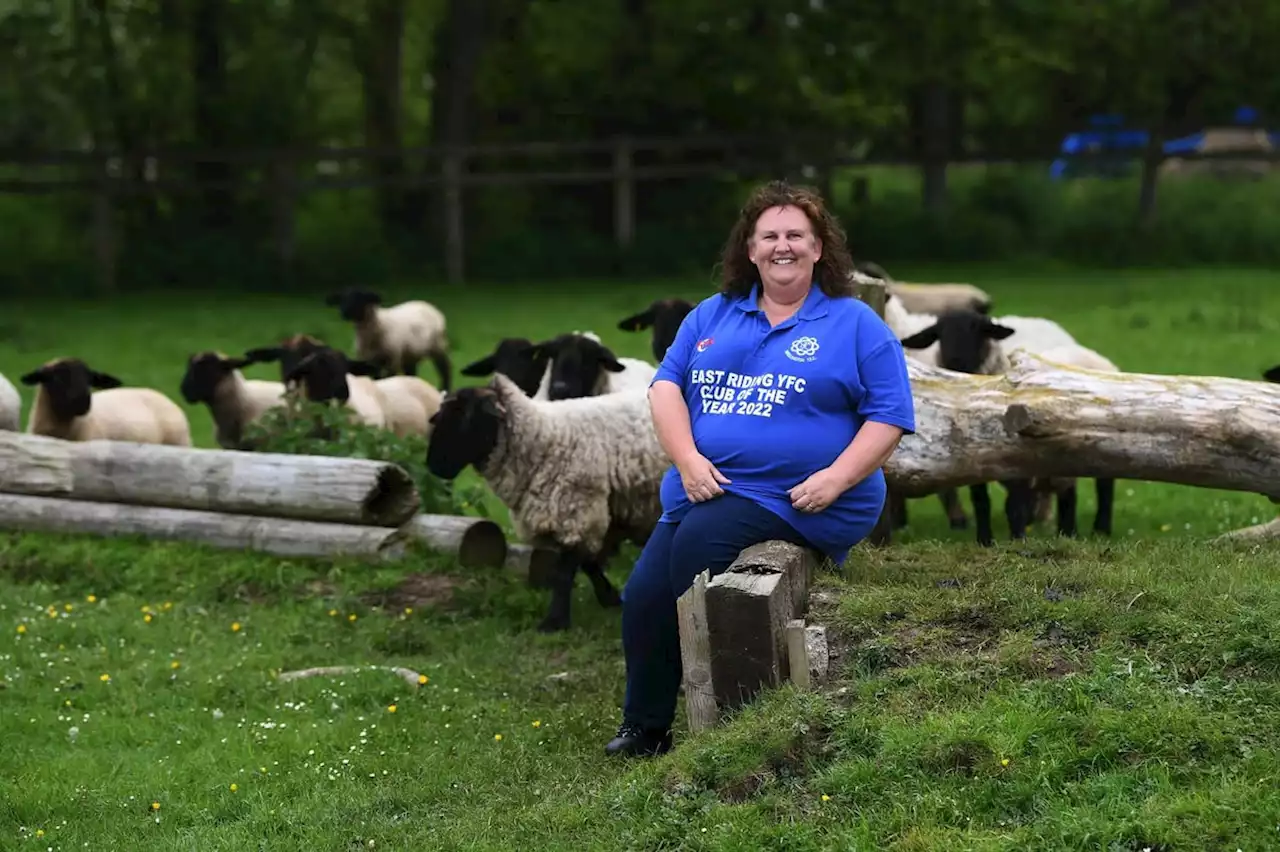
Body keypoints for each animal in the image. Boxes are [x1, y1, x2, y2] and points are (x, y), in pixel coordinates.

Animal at [325, 286, 455, 388]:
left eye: (361, 298)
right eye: (342, 299)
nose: (343, 312)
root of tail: (426, 304)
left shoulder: (392, 361)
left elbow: (386, 380)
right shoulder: (370, 361)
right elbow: (376, 380)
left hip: (438, 346)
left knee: (445, 371)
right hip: (410, 354)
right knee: (411, 373)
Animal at [430, 373, 670, 629]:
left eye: (466, 416)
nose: (433, 465)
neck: (543, 437)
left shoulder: (576, 509)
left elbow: (565, 573)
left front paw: (554, 622)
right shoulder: (589, 514)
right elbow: (588, 564)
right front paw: (610, 598)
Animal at [896, 308, 1116, 547]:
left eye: (978, 330)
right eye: (939, 333)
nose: (955, 361)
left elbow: (1014, 506)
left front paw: (1017, 541)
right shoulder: (972, 459)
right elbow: (981, 501)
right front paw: (985, 541)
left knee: (1102, 485)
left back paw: (1099, 529)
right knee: (1066, 491)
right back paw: (1067, 532)